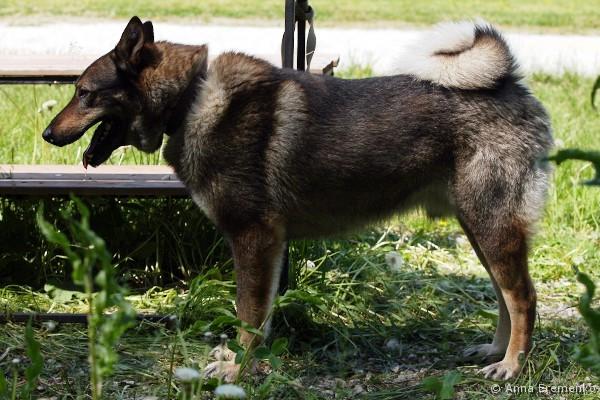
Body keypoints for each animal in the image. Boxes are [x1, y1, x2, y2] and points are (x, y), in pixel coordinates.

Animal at [42, 17, 553, 381]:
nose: (46, 134)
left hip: (491, 227)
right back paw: (495, 351)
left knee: (524, 298)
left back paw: (511, 366)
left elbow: (249, 316)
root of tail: (511, 85)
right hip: (481, 230)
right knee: (506, 297)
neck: (190, 100)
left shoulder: (255, 239)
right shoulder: (265, 247)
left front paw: (237, 370)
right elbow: (258, 317)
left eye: (84, 93)